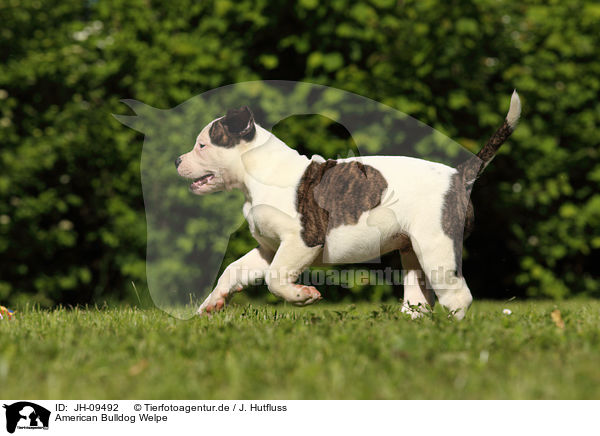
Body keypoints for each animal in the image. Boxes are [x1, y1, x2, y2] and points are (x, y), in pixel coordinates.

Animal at [175, 91, 520, 320]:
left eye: (202, 145)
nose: (177, 160)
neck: (258, 175)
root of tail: (460, 175)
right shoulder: (271, 249)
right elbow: (234, 271)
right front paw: (211, 304)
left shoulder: (301, 242)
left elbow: (275, 280)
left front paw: (302, 296)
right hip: (413, 253)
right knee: (419, 299)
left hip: (436, 246)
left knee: (458, 295)